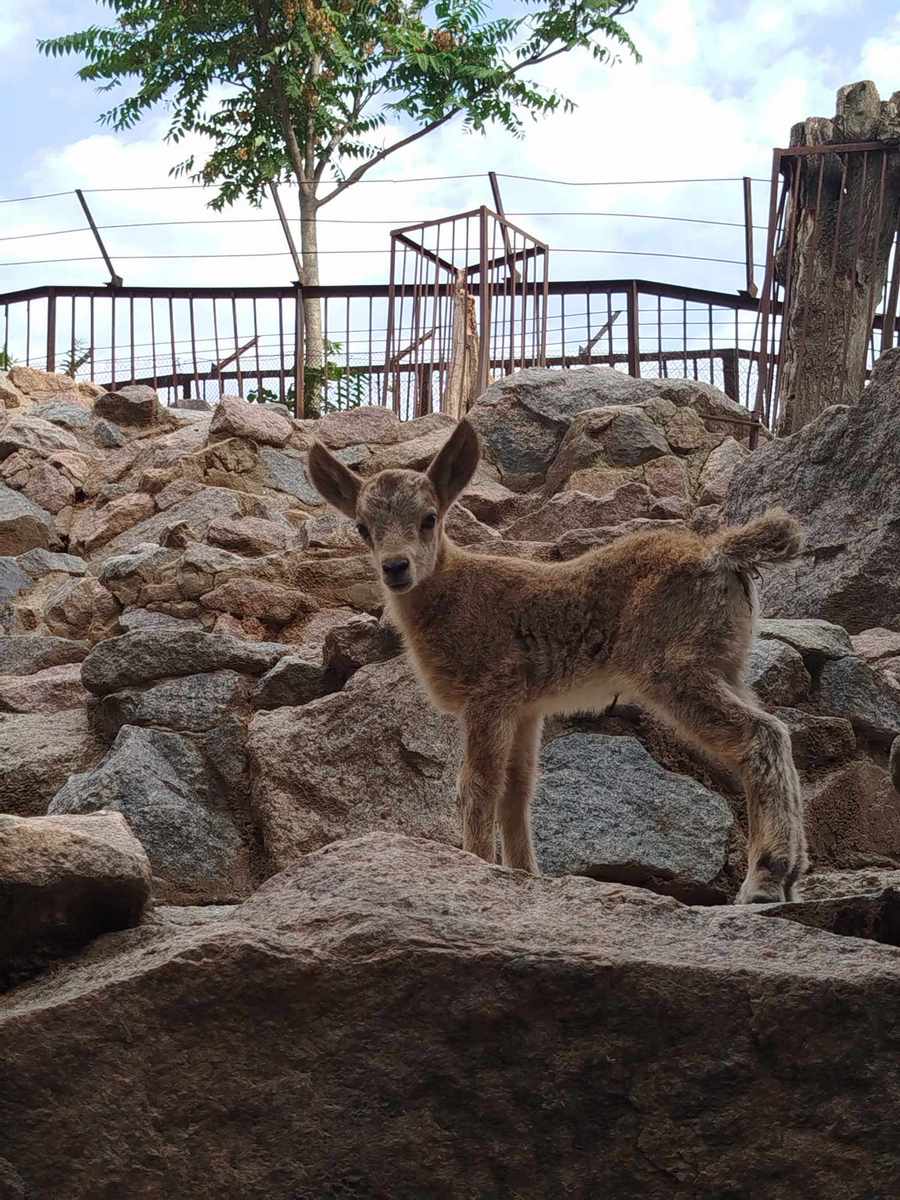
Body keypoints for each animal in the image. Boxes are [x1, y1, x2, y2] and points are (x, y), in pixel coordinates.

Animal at [309, 420, 811, 902]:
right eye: (362, 527)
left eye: (429, 518)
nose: (395, 567)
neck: (450, 597)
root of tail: (722, 553)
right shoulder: (527, 706)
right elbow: (517, 789)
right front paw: (524, 873)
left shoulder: (490, 690)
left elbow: (478, 783)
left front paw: (476, 863)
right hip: (727, 664)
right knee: (777, 734)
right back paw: (792, 874)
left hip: (674, 666)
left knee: (761, 735)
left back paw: (766, 877)